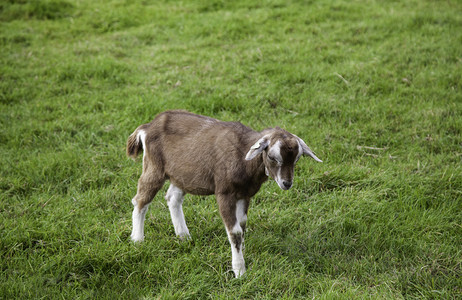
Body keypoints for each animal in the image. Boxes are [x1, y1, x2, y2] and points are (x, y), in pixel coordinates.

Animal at [125, 109, 322, 276]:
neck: (243, 158)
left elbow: (242, 225)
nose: (286, 183)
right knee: (140, 200)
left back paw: (184, 236)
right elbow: (234, 231)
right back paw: (137, 240)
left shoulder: (244, 194)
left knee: (172, 197)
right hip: (154, 167)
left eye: (297, 159)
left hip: (182, 175)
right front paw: (240, 271)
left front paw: (242, 254)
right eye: (272, 157)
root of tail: (147, 127)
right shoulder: (225, 193)